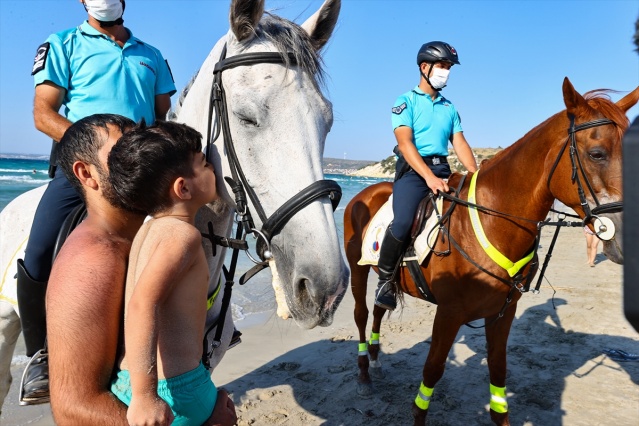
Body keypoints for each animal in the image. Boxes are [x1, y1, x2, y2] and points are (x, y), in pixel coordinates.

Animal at [348, 78, 636, 424]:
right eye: (596, 154)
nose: (627, 237)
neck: (492, 220)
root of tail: (365, 192)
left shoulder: (502, 312)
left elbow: (498, 373)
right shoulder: (449, 314)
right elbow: (432, 372)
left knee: (380, 307)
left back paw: (377, 360)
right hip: (357, 269)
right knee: (362, 314)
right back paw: (364, 374)